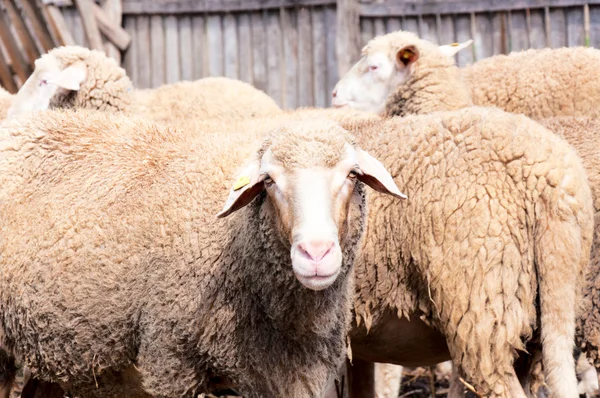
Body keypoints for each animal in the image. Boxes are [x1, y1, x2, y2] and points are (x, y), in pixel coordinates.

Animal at [0, 109, 406, 398]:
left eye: (352, 175)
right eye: (269, 181)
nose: (316, 253)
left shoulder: (290, 376)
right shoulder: (169, 362)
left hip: (55, 342)